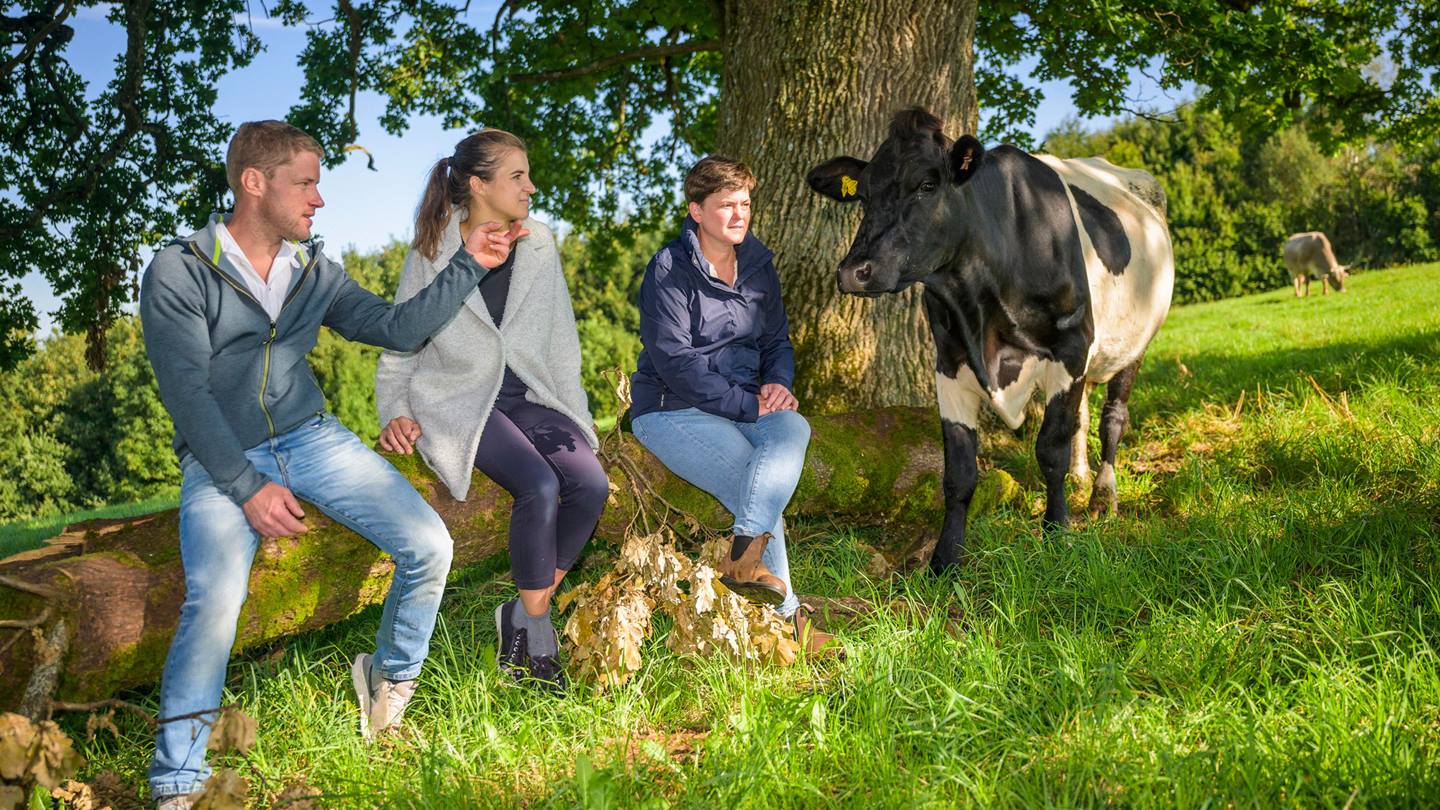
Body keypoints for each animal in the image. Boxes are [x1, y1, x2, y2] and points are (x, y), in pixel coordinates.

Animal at [806, 108, 1174, 573]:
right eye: (865, 195)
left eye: (928, 185)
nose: (854, 271)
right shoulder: (949, 363)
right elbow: (959, 474)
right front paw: (945, 559)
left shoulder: (1070, 348)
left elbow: (1049, 450)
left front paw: (1056, 533)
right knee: (1083, 415)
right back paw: (1080, 477)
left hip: (1134, 343)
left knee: (1113, 417)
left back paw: (1102, 495)